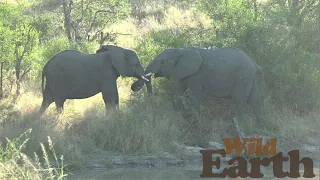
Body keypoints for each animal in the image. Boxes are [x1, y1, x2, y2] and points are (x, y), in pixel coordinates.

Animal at [132, 47, 264, 121]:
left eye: (163, 62)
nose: (134, 87)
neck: (181, 50)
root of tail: (255, 64)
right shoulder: (181, 72)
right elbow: (180, 92)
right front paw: (178, 116)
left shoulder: (196, 75)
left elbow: (193, 95)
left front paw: (193, 118)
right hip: (249, 77)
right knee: (255, 98)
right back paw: (261, 122)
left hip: (243, 76)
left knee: (239, 99)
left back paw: (238, 122)